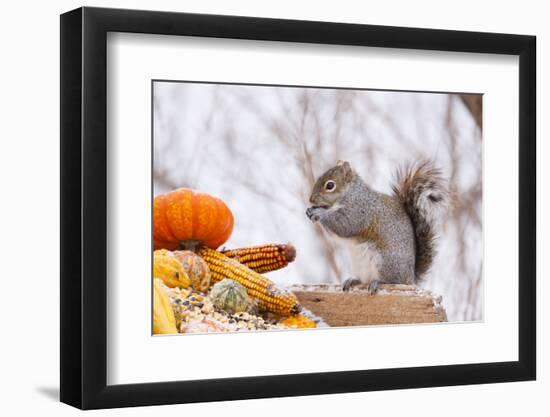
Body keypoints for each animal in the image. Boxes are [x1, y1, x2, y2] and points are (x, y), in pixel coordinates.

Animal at [308, 159, 450, 292]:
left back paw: (379, 282)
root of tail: (410, 278)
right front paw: (310, 212)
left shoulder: (359, 211)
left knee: (392, 281)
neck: (351, 194)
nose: (311, 200)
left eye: (330, 185)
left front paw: (319, 213)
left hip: (385, 262)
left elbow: (344, 225)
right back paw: (353, 280)